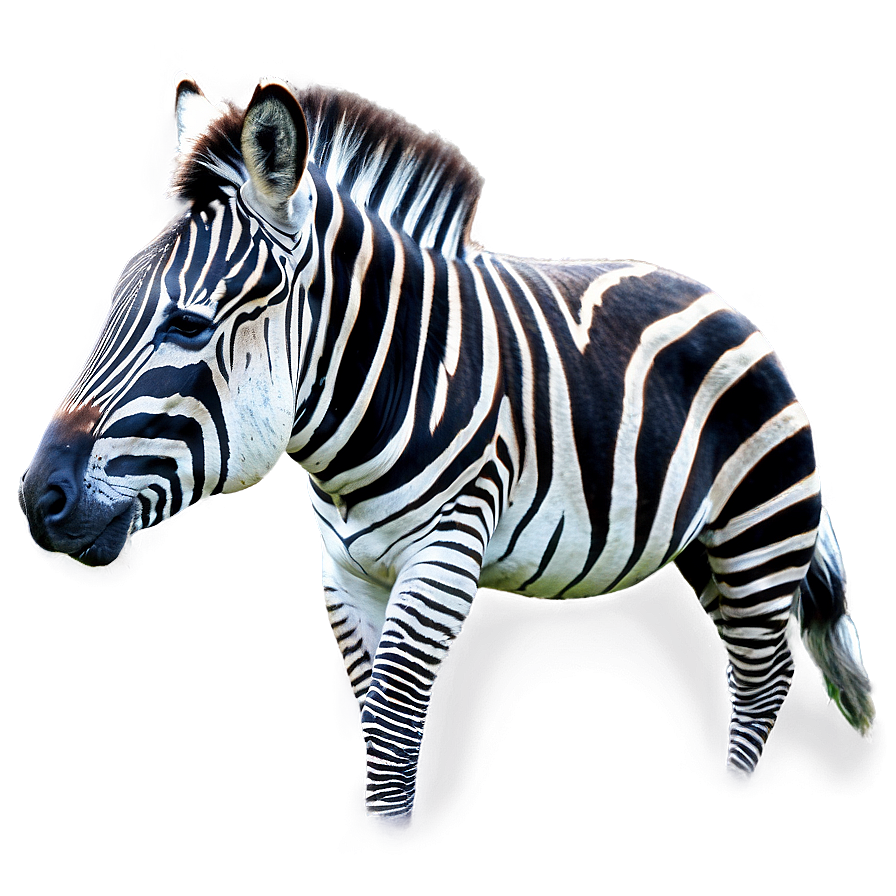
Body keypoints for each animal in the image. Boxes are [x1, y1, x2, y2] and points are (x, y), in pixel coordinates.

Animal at [19, 73, 875, 820]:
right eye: (113, 306)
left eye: (188, 325)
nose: (36, 500)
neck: (381, 397)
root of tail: (727, 303)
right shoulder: (345, 574)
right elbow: (376, 729)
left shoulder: (444, 559)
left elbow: (392, 742)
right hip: (702, 548)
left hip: (758, 534)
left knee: (763, 678)